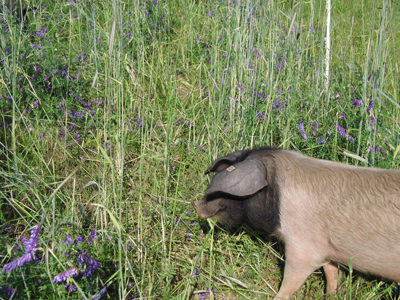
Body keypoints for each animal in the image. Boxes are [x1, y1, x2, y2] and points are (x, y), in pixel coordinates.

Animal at [191, 146, 400, 298]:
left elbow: (291, 281)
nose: (195, 205)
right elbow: (331, 272)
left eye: (227, 193)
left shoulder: (303, 248)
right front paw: (330, 295)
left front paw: (277, 297)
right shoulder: (325, 247)